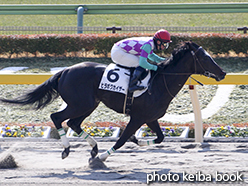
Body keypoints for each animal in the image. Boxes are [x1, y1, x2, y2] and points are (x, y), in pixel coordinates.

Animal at [0, 41, 226, 162]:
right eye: (205, 58)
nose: (222, 73)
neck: (159, 83)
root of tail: (65, 71)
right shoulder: (137, 117)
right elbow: (121, 139)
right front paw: (102, 158)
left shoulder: (151, 118)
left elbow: (160, 138)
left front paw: (138, 140)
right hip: (80, 104)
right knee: (57, 117)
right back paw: (67, 149)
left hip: (89, 104)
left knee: (73, 123)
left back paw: (93, 148)